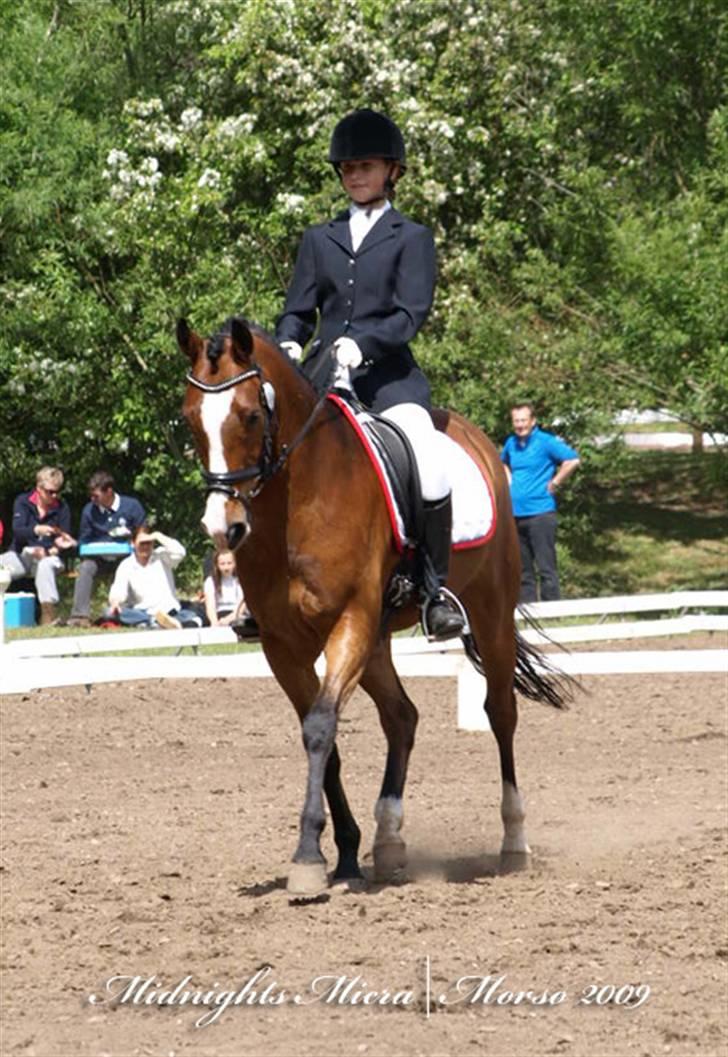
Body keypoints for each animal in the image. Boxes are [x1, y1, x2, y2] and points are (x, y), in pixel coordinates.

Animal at [178, 314, 566, 900]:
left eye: (250, 415)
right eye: (191, 421)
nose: (224, 528)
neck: (299, 499)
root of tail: (473, 436)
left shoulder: (350, 621)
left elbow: (321, 727)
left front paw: (307, 858)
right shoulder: (283, 644)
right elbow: (324, 734)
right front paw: (341, 854)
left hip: (489, 612)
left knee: (500, 712)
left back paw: (513, 843)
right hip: (379, 639)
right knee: (401, 716)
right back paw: (387, 840)